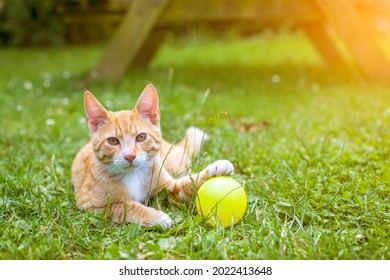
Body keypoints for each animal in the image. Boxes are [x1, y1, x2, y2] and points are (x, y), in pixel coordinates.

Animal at [71, 84, 233, 229]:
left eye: (141, 137)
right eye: (113, 141)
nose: (130, 156)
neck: (133, 175)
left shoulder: (168, 188)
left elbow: (187, 184)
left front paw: (215, 169)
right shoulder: (89, 204)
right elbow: (122, 206)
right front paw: (155, 216)